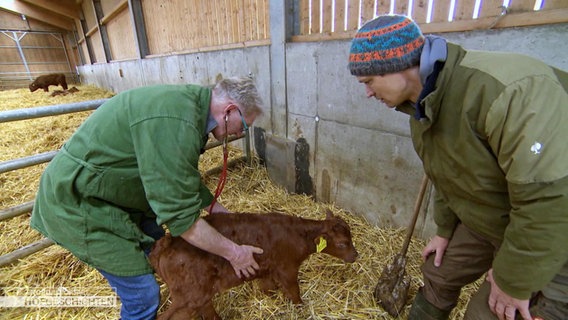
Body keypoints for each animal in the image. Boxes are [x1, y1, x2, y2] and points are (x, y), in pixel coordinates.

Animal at [149, 210, 358, 320]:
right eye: (342, 244)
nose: (356, 256)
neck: (297, 234)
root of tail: (167, 242)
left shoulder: (266, 269)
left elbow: (268, 288)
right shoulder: (287, 268)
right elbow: (294, 291)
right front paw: (300, 308)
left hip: (199, 293)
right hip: (187, 297)